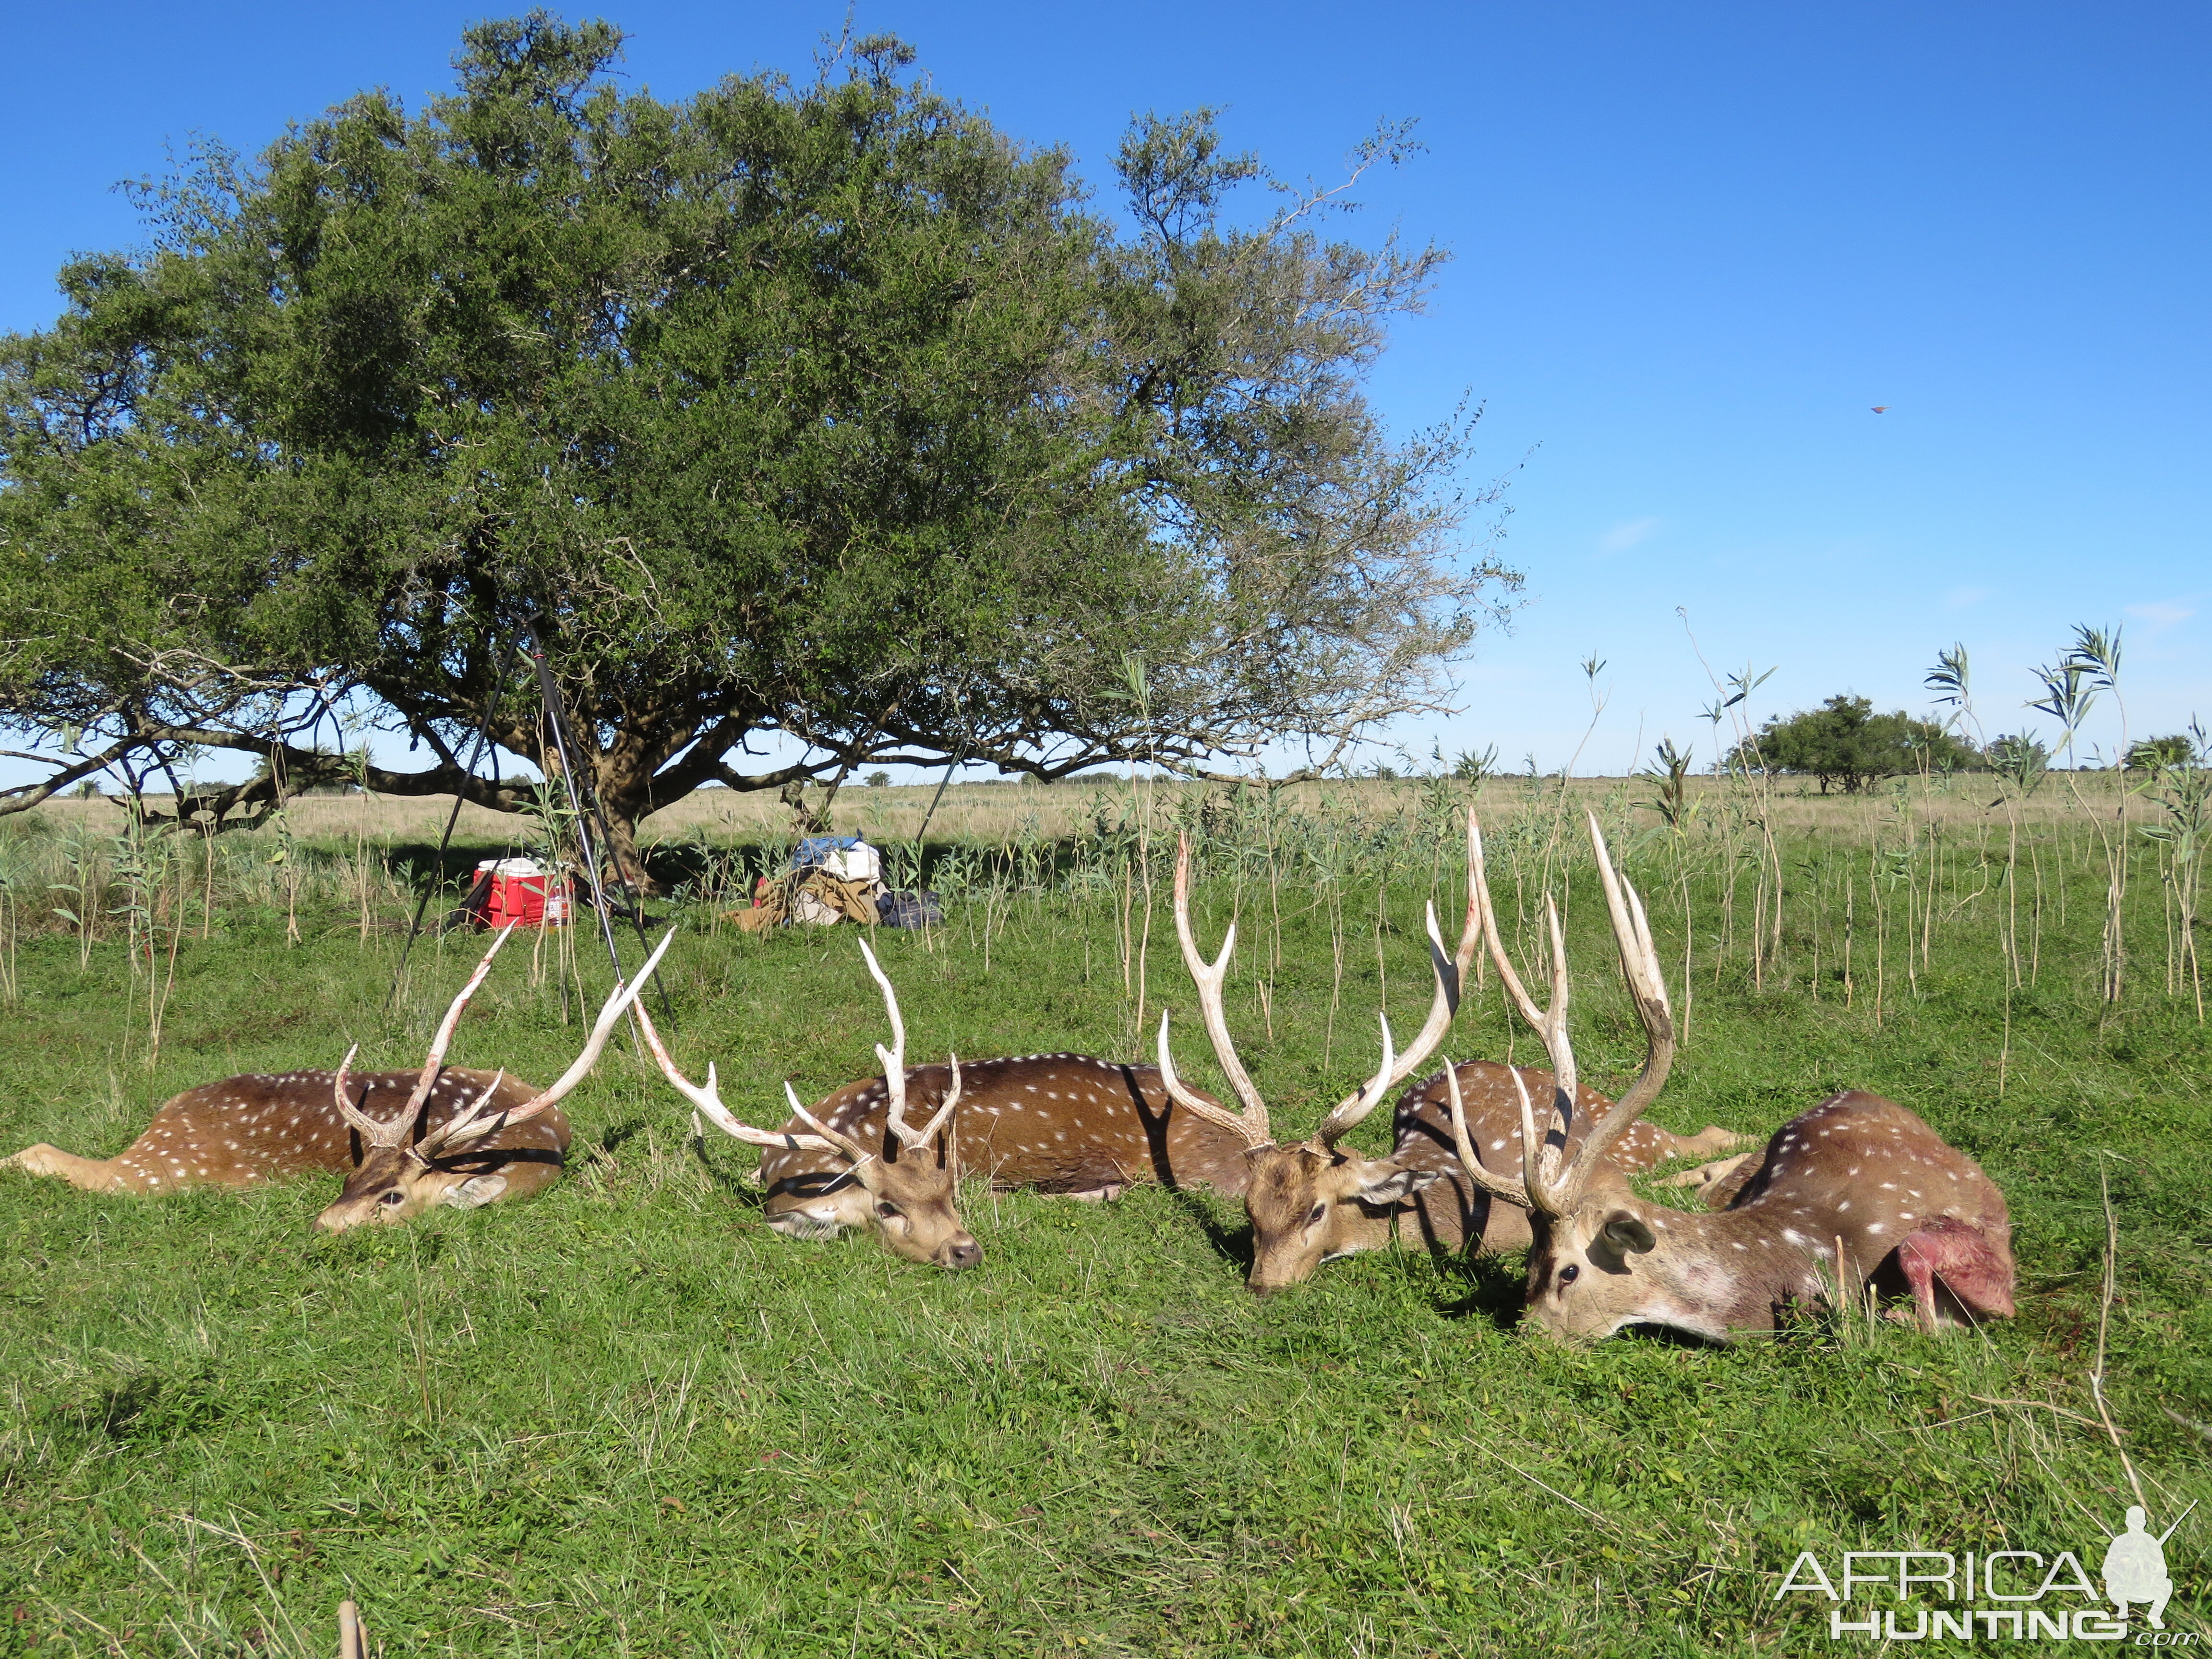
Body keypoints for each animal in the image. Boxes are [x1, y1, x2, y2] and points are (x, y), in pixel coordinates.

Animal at [4, 929, 672, 1238]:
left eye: (392, 1198)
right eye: (349, 1176)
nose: (324, 1224)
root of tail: (164, 1117)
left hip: (166, 1165)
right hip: (168, 1169)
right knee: (45, 1154)